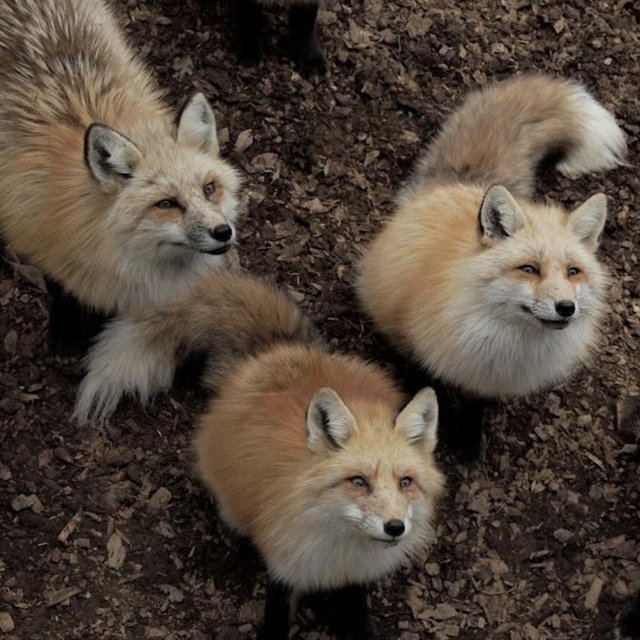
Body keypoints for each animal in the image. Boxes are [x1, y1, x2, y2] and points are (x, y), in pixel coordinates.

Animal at [0, 0, 241, 353]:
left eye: (210, 188)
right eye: (166, 203)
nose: (223, 232)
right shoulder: (44, 248)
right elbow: (60, 291)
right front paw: (64, 331)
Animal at [72, 270, 444, 639]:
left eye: (406, 481)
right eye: (358, 481)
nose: (395, 527)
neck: (341, 550)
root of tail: (278, 351)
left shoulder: (354, 579)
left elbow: (355, 616)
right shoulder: (284, 565)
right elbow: (277, 620)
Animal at [357, 75, 627, 461]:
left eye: (573, 272)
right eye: (529, 268)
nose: (566, 308)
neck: (509, 342)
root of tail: (460, 184)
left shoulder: (488, 376)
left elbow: (475, 406)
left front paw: (470, 439)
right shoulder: (427, 345)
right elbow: (426, 384)